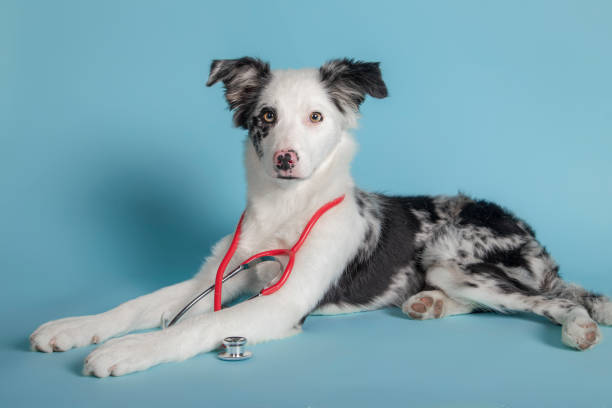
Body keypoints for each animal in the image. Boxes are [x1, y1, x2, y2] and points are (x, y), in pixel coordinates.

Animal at [29, 57, 612, 376]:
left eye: (316, 117)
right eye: (267, 116)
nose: (286, 158)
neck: (284, 211)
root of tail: (531, 235)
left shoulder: (281, 302)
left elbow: (198, 325)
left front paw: (130, 350)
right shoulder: (216, 277)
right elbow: (137, 305)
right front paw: (75, 327)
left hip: (455, 260)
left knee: (557, 302)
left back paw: (579, 327)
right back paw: (427, 304)